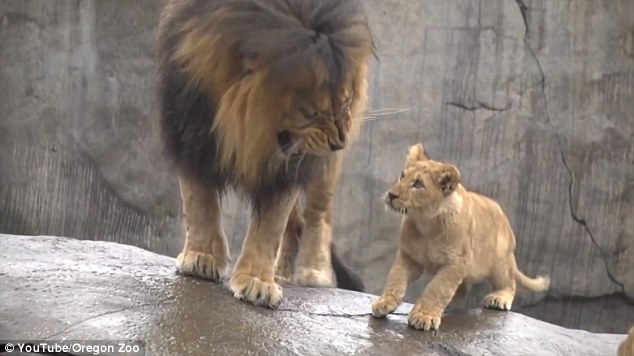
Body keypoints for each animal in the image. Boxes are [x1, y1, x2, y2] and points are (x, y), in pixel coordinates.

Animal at [156, 0, 372, 308]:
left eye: (345, 101)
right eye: (310, 112)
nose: (339, 142)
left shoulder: (288, 168)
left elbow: (270, 227)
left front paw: (257, 282)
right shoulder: (189, 133)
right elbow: (198, 202)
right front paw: (201, 257)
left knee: (318, 213)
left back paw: (314, 271)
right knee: (295, 224)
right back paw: (281, 273)